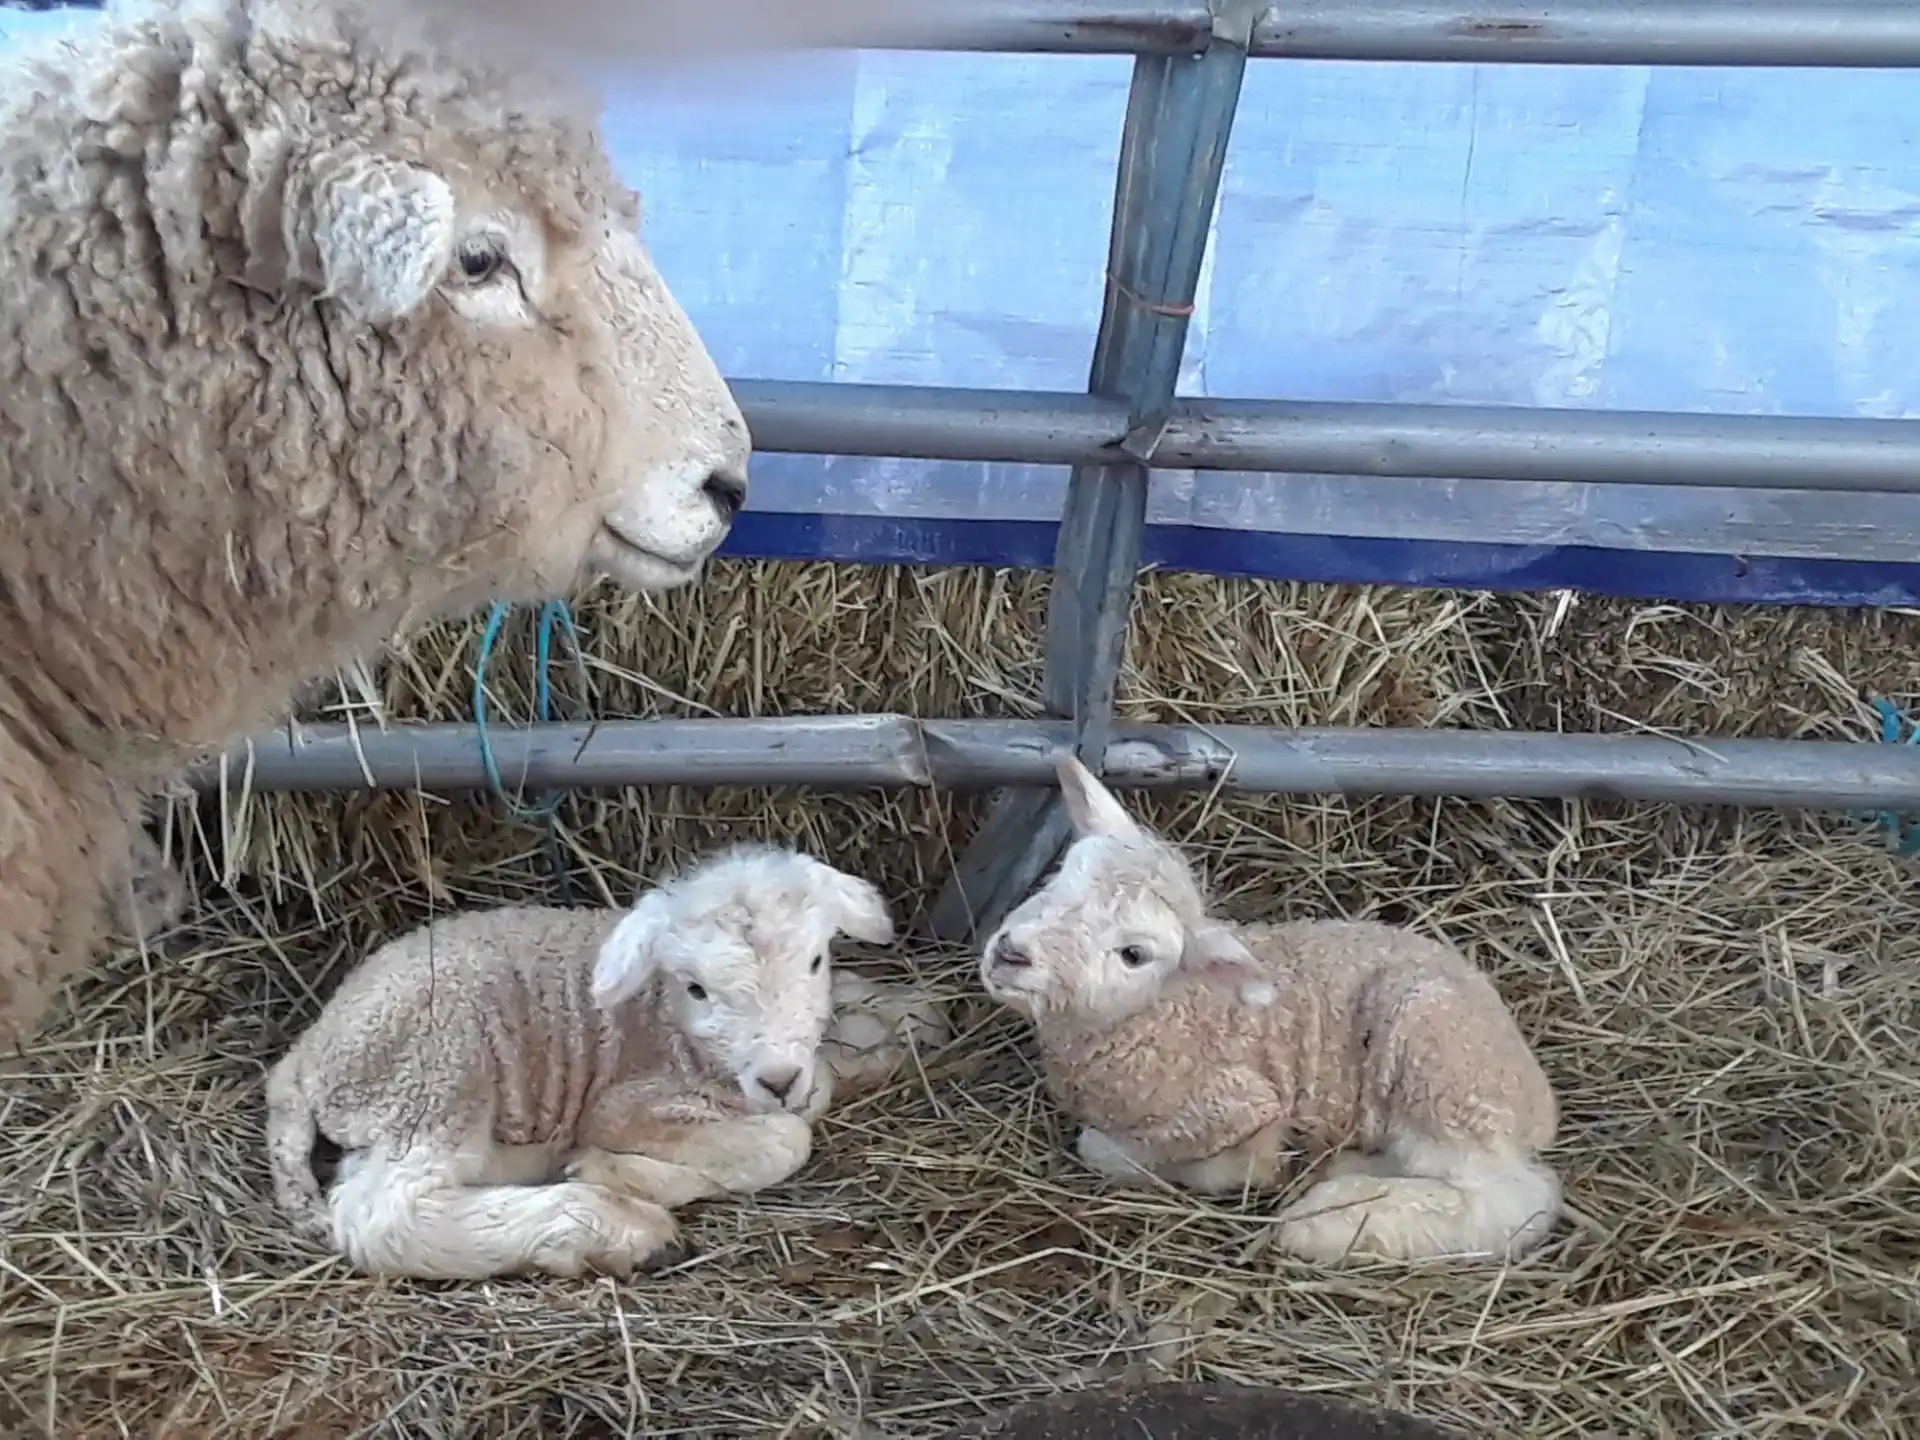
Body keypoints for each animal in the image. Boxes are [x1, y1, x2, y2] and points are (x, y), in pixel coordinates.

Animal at [264, 843, 951, 1280]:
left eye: (815, 961)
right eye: (697, 989)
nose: (778, 1078)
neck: (668, 1022)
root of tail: (306, 1056)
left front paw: (904, 1019)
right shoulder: (629, 1102)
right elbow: (784, 1141)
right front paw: (613, 1170)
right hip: (434, 1079)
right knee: (382, 1216)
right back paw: (617, 1230)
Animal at [979, 755, 1563, 1265]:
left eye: (1133, 954)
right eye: (1060, 877)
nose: (1010, 954)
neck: (1161, 1015)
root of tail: (1538, 1104)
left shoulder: (1233, 1107)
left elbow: (1112, 1152)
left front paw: (1256, 1169)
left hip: (1439, 1073)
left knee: (1517, 1200)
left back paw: (1327, 1219)